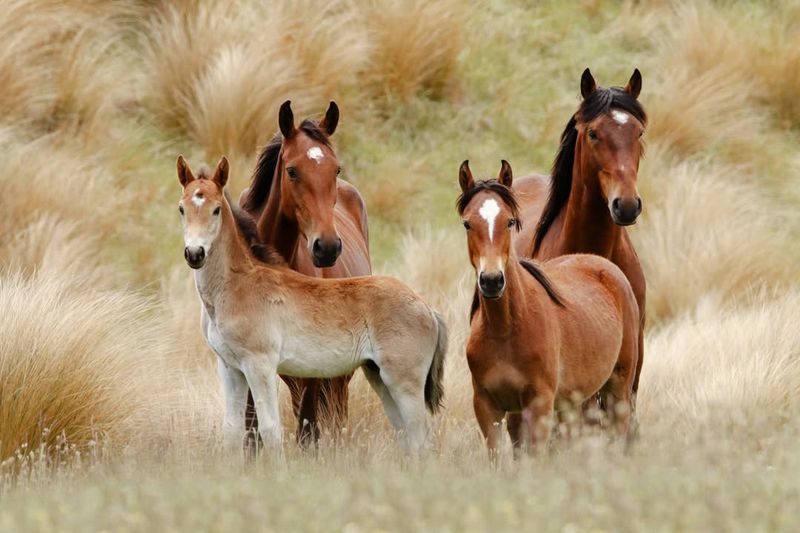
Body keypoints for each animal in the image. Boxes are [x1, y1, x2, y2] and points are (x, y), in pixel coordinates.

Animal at [460, 160, 640, 456]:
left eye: (509, 221)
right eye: (467, 223)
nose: (492, 281)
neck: (504, 329)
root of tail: (606, 266)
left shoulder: (539, 404)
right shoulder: (487, 408)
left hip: (619, 386)